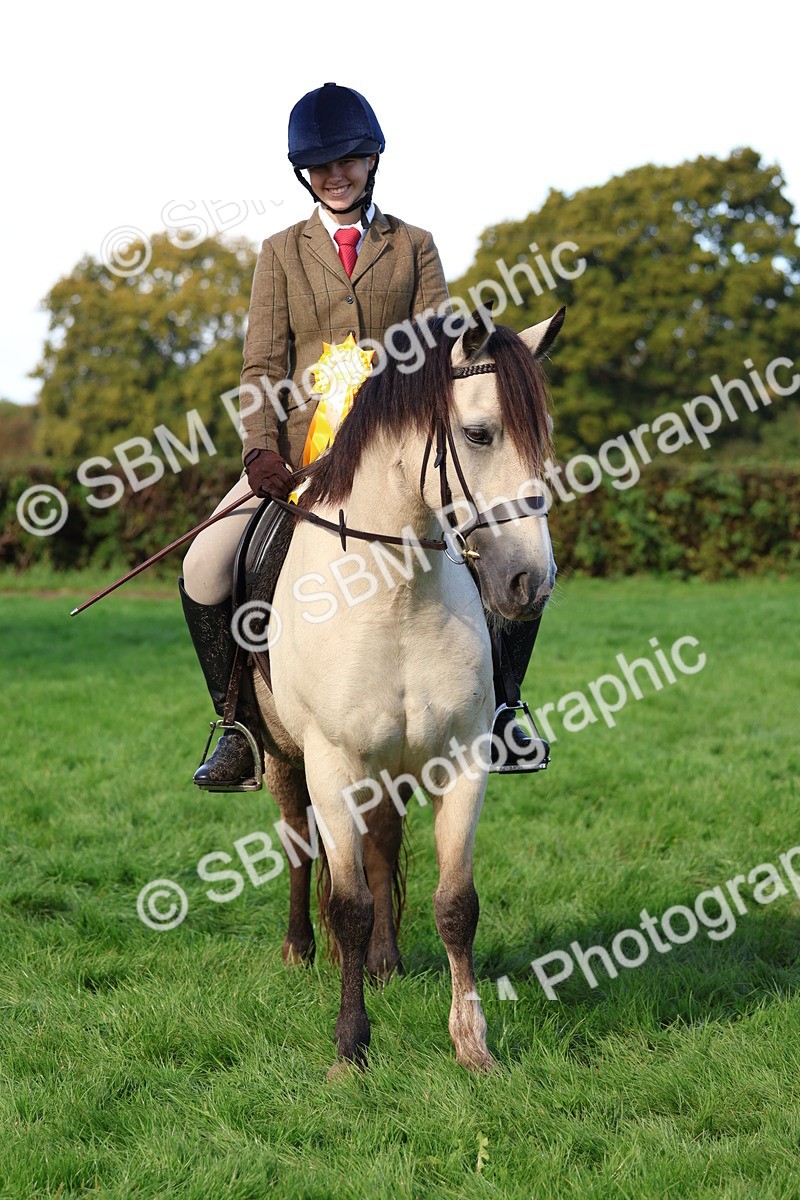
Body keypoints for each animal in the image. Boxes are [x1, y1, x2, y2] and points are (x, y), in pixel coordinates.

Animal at [249, 302, 563, 1075]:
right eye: (479, 434)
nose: (531, 583)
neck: (392, 594)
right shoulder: (332, 762)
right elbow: (349, 903)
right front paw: (350, 1048)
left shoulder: (462, 758)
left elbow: (455, 903)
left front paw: (473, 1044)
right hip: (280, 755)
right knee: (299, 842)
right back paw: (301, 948)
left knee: (383, 841)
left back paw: (385, 964)